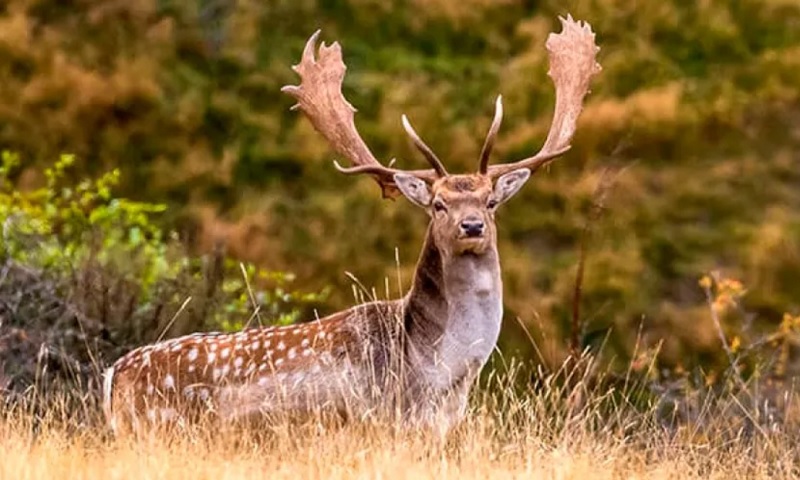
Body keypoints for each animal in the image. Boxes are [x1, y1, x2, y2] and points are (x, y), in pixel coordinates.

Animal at [100, 15, 600, 436]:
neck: (442, 375)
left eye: (491, 201)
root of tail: (112, 377)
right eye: (438, 205)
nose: (473, 226)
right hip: (157, 428)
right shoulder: (381, 421)